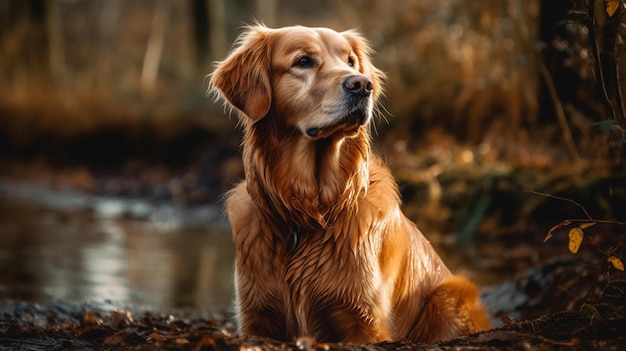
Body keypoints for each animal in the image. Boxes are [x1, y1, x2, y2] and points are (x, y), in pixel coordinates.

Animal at [207, 25, 490, 346]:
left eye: (351, 62)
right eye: (303, 61)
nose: (362, 85)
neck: (309, 212)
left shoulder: (364, 321)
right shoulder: (256, 317)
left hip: (450, 295)